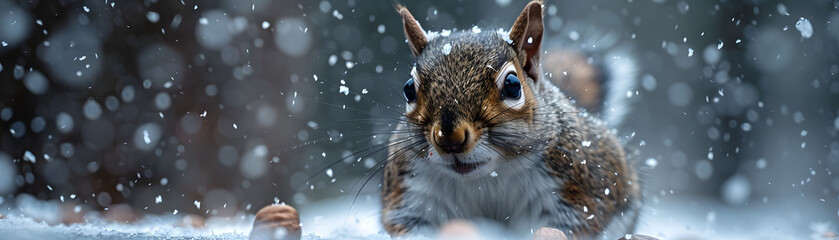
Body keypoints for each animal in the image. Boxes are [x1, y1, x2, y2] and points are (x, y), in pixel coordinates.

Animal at [380, 0, 644, 238]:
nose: (449, 139)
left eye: (513, 85)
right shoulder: (412, 194)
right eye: (409, 89)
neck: (489, 176)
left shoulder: (576, 190)